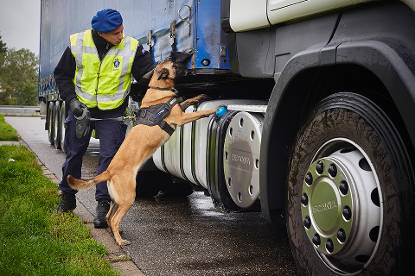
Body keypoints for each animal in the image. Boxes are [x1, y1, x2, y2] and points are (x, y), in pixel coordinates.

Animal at [66, 58, 216, 246]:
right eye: (174, 65)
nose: (189, 65)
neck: (158, 89)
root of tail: (109, 171)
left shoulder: (179, 109)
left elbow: (187, 100)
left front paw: (200, 96)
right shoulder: (180, 118)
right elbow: (200, 112)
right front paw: (213, 110)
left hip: (118, 199)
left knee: (109, 216)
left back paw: (117, 233)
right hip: (129, 197)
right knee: (114, 218)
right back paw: (120, 240)